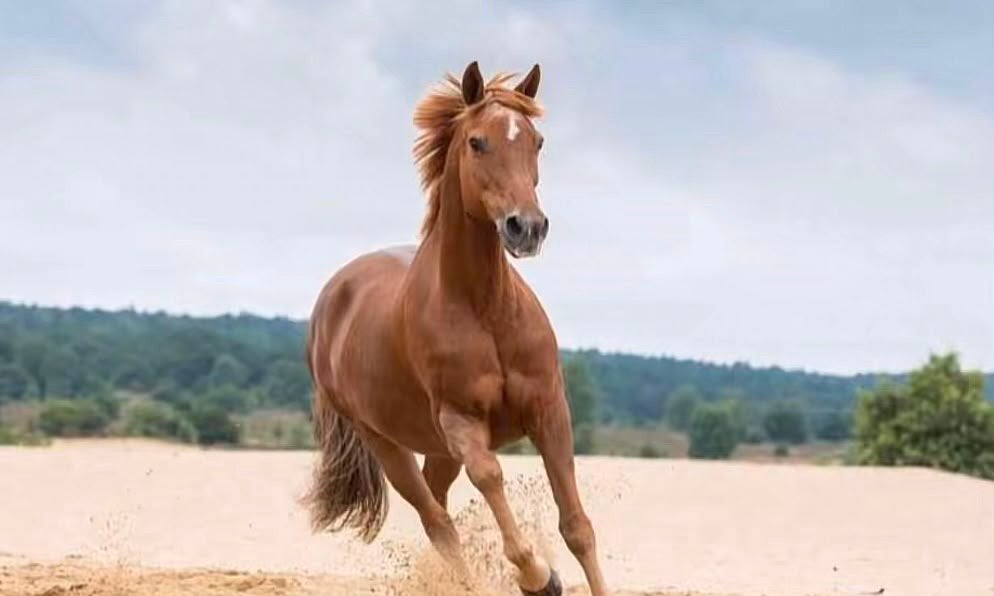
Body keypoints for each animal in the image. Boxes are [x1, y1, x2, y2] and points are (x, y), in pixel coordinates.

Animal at [303, 61, 608, 596]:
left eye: (537, 141)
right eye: (477, 142)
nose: (527, 227)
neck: (485, 310)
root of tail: (331, 300)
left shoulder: (550, 409)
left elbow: (577, 526)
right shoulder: (461, 422)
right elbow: (489, 478)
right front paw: (539, 577)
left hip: (435, 449)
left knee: (439, 507)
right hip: (385, 442)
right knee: (437, 522)